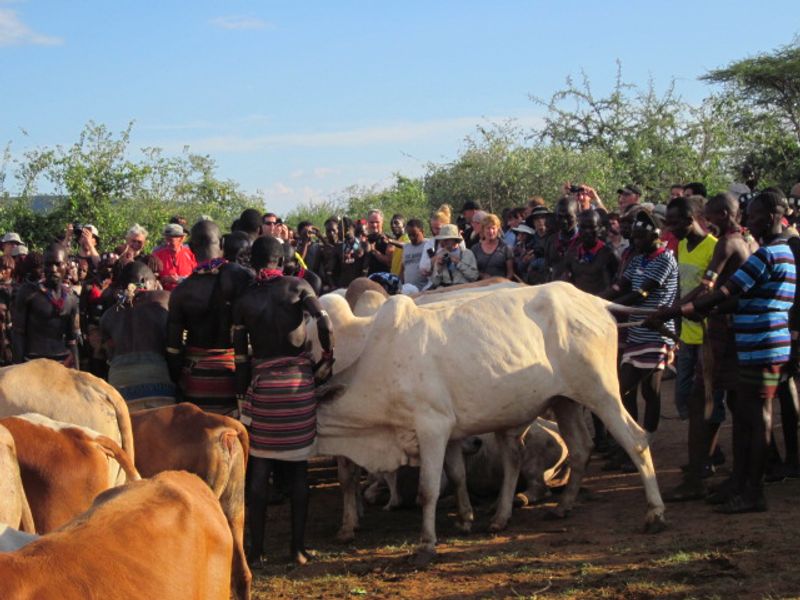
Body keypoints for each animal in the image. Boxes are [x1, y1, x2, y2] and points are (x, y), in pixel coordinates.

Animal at [316, 284, 664, 564]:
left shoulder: (432, 426)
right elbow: (457, 474)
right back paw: (556, 507)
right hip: (564, 401)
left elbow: (428, 489)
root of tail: (597, 302)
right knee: (579, 447)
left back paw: (654, 513)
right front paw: (464, 520)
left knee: (635, 439)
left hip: (601, 391)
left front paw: (426, 546)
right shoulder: (450, 433)